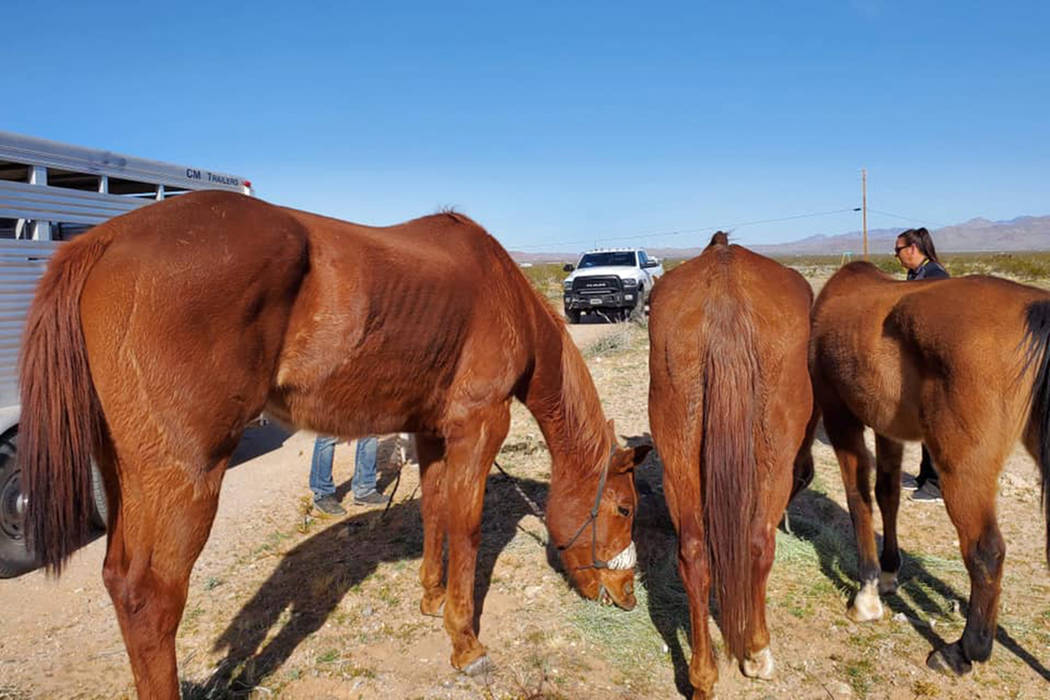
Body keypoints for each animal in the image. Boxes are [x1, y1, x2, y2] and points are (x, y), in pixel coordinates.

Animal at [20, 188, 646, 696]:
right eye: (623, 509)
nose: (627, 595)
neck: (501, 291)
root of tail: (103, 240)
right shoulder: (478, 426)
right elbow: (466, 526)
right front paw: (465, 644)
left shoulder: (430, 433)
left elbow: (435, 512)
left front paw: (430, 599)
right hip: (184, 476)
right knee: (150, 597)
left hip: (123, 474)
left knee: (117, 579)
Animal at [646, 235, 810, 700]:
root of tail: (724, 293)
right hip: (774, 461)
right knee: (759, 543)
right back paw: (756, 650)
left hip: (678, 456)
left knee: (694, 554)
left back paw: (703, 676)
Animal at [810, 261, 1050, 671]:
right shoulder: (887, 428)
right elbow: (887, 495)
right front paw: (889, 572)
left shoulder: (841, 417)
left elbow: (859, 499)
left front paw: (867, 595)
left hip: (962, 471)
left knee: (986, 552)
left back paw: (964, 651)